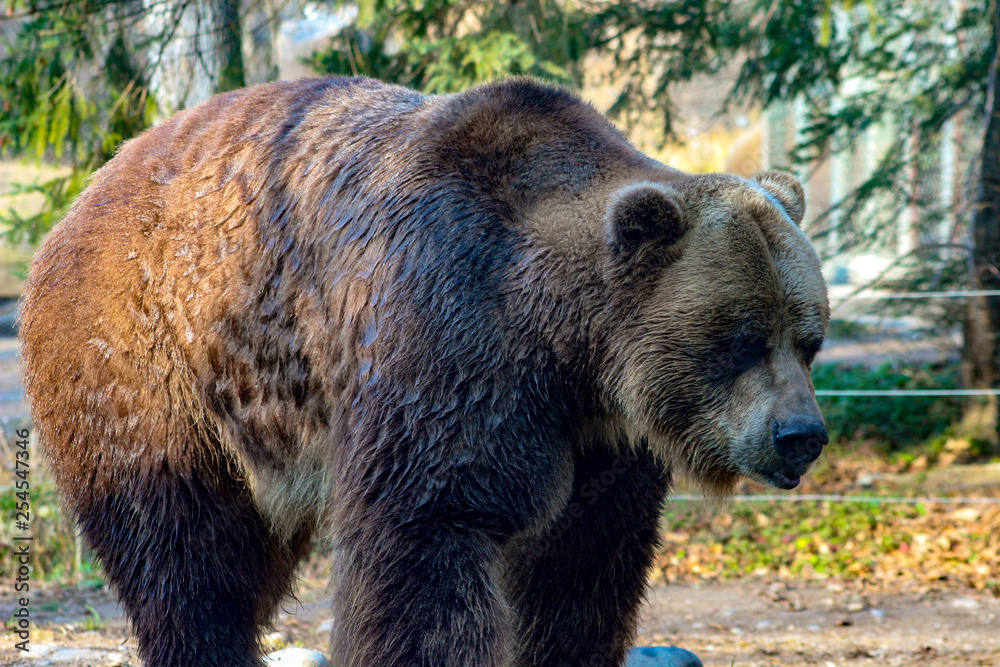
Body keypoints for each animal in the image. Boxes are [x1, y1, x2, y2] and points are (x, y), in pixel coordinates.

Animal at [21, 75, 828, 664]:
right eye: (742, 337)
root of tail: (86, 195)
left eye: (808, 337)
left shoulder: (601, 443)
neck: (569, 349)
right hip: (147, 358)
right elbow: (425, 543)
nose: (801, 434)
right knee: (184, 550)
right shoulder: (445, 347)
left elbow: (579, 572)